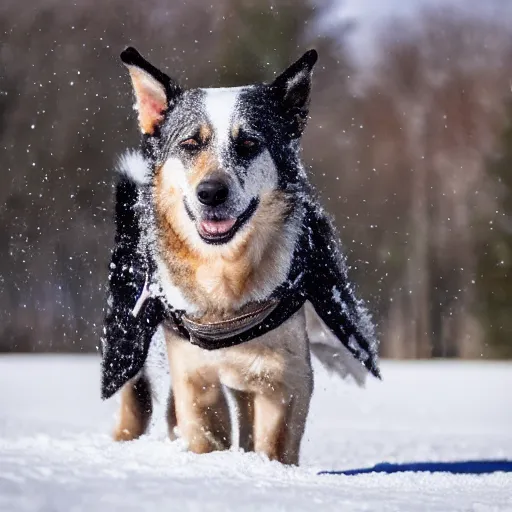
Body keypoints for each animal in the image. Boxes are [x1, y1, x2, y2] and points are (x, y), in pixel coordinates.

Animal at [101, 47, 380, 464]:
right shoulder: (194, 377)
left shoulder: (285, 378)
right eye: (190, 144)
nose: (211, 193)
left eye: (248, 144)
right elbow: (205, 435)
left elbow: (274, 445)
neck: (226, 279)